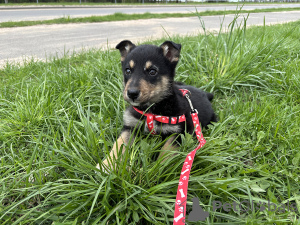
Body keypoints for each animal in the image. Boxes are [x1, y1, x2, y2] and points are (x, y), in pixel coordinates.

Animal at [97, 40, 217, 172]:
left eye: (152, 71)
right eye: (128, 71)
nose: (131, 93)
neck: (151, 110)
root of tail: (205, 93)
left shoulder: (181, 131)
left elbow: (167, 150)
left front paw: (159, 168)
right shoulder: (130, 126)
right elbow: (119, 144)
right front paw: (107, 164)